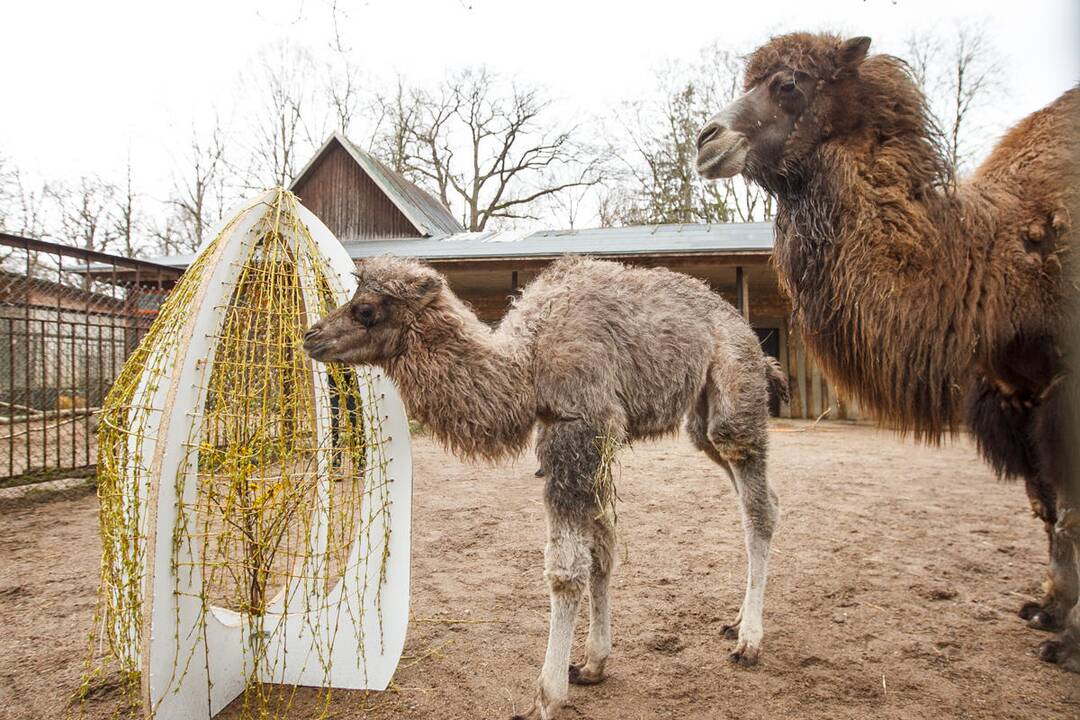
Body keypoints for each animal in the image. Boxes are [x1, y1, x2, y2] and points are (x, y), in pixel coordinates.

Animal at [304, 255, 786, 716]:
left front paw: (547, 697)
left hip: (734, 392)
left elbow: (566, 571)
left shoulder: (578, 429)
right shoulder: (586, 442)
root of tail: (750, 337)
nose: (312, 336)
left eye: (366, 309)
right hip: (699, 419)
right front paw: (593, 663)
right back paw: (736, 621)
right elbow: (601, 552)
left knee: (757, 505)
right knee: (759, 495)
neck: (526, 367)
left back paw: (750, 641)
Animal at [695, 31, 1080, 673]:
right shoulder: (1017, 396)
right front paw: (1048, 610)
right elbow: (1047, 506)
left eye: (789, 83)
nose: (706, 141)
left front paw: (1068, 643)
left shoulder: (1061, 391)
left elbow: (1070, 511)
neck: (1000, 263)